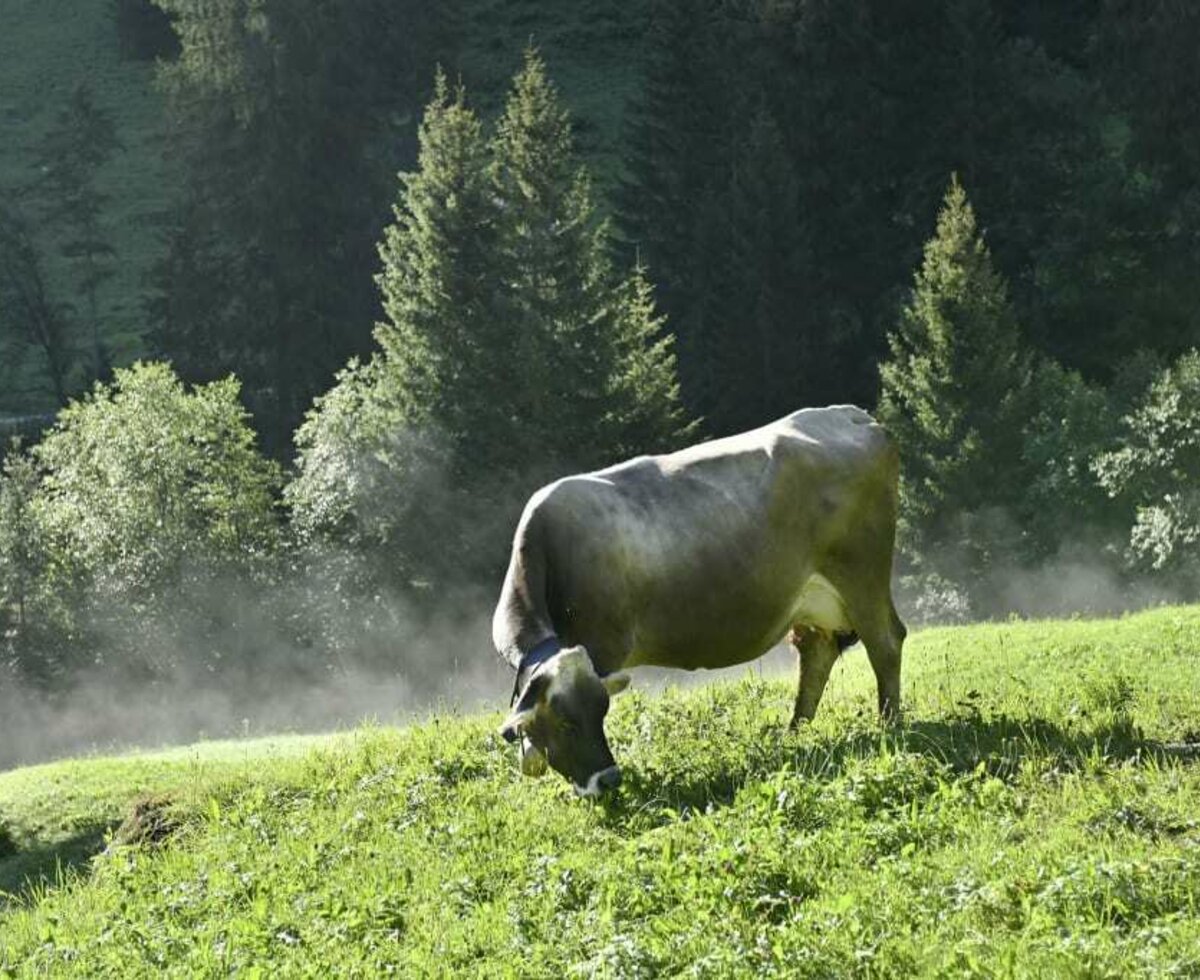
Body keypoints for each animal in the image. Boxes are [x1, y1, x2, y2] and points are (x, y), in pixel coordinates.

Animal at [492, 405, 902, 796]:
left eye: (601, 709)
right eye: (564, 721)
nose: (607, 780)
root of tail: (850, 414)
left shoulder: (603, 646)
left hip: (862, 573)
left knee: (885, 643)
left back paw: (890, 725)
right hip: (812, 599)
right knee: (817, 652)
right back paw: (795, 734)